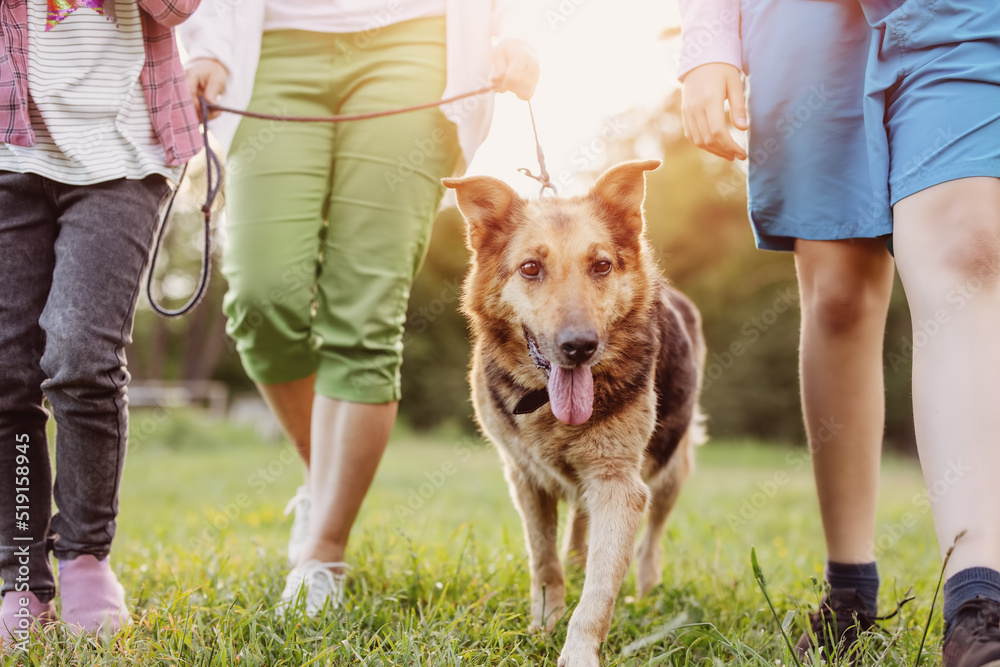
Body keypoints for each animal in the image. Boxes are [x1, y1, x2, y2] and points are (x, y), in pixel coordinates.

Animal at [446, 159, 712, 664]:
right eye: (531, 268)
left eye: (601, 265)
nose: (580, 347)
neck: (549, 406)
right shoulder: (526, 478)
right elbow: (544, 561)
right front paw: (544, 624)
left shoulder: (619, 486)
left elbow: (600, 590)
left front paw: (579, 650)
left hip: (671, 469)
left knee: (650, 543)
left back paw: (648, 593)